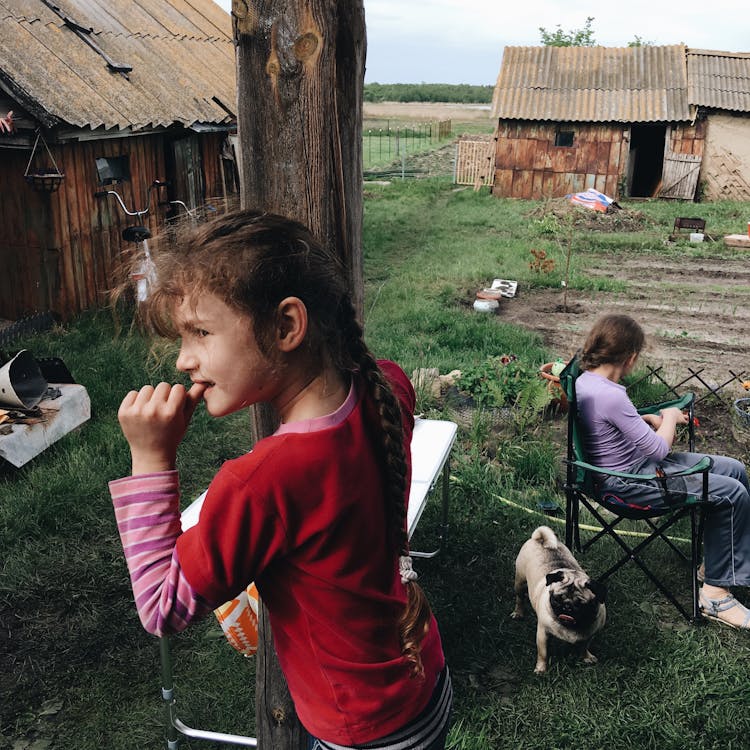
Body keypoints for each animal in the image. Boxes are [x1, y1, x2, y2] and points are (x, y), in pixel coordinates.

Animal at [516, 524, 608, 680]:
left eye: (582, 604)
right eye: (556, 599)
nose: (567, 607)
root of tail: (540, 539)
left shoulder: (589, 635)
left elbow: (584, 647)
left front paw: (586, 657)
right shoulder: (542, 634)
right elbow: (543, 654)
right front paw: (541, 669)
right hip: (519, 582)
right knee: (519, 598)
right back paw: (518, 613)